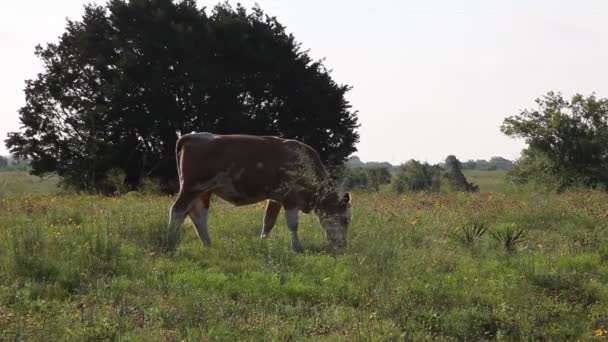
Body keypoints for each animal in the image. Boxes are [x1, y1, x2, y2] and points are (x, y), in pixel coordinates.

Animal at [166, 132, 354, 252]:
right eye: (345, 220)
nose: (343, 245)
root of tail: (191, 136)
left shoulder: (276, 198)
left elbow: (268, 222)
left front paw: (262, 243)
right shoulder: (290, 198)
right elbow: (293, 224)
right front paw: (296, 247)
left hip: (204, 191)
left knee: (198, 215)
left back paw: (208, 245)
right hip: (191, 187)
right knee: (177, 211)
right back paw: (170, 242)